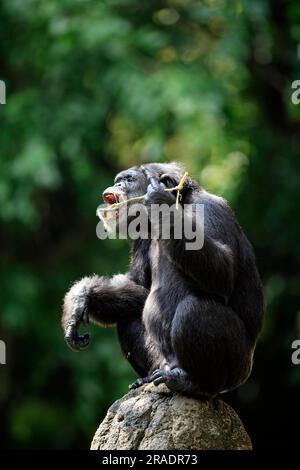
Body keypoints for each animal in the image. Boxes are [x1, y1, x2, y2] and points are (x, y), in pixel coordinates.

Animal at [62, 162, 264, 396]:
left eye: (129, 179)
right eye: (118, 180)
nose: (117, 184)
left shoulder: (211, 210)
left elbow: (224, 273)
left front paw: (160, 203)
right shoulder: (143, 237)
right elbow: (140, 285)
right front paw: (81, 299)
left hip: (235, 370)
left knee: (194, 310)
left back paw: (192, 383)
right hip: (162, 360)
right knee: (128, 316)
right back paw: (147, 378)